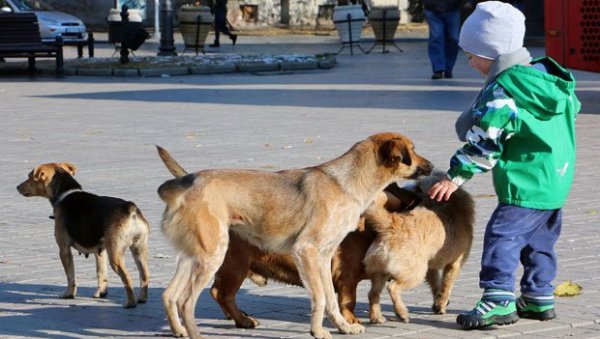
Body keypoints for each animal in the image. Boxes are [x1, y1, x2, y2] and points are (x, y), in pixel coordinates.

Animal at [16, 163, 150, 310]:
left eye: (29, 177)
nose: (17, 187)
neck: (65, 193)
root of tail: (130, 208)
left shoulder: (64, 249)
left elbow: (70, 276)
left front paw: (69, 294)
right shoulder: (100, 251)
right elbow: (101, 273)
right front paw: (101, 293)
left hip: (115, 255)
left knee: (127, 278)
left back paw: (131, 303)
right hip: (139, 250)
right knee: (145, 275)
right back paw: (142, 298)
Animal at [157, 133, 434, 339]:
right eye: (412, 149)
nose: (432, 167)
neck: (347, 183)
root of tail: (185, 185)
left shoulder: (324, 258)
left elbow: (330, 299)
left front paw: (343, 327)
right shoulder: (307, 251)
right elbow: (321, 298)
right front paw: (318, 331)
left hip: (193, 257)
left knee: (170, 295)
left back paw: (180, 330)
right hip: (212, 256)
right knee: (187, 301)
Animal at [360, 174, 474, 326]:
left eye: (418, 187)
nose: (402, 186)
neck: (448, 205)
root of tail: (392, 224)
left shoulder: (431, 268)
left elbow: (436, 284)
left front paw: (437, 304)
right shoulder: (454, 265)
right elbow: (446, 286)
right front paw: (441, 304)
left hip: (380, 271)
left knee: (373, 294)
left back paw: (376, 317)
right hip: (415, 272)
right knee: (393, 287)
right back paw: (401, 312)